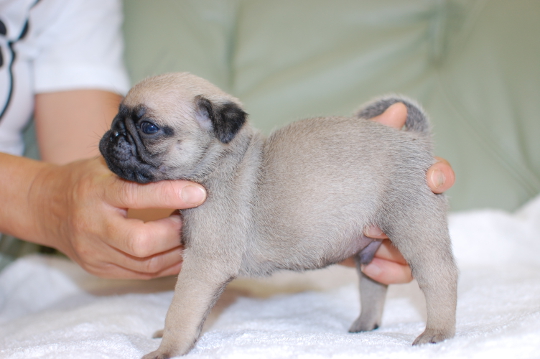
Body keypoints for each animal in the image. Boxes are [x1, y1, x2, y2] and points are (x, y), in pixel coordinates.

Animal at [98, 71, 456, 358]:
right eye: (116, 118)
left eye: (149, 127)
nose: (112, 134)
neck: (221, 162)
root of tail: (415, 139)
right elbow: (197, 314)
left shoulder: (203, 266)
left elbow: (181, 310)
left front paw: (167, 349)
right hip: (370, 249)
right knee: (373, 286)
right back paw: (366, 325)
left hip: (414, 224)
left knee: (440, 276)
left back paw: (437, 333)